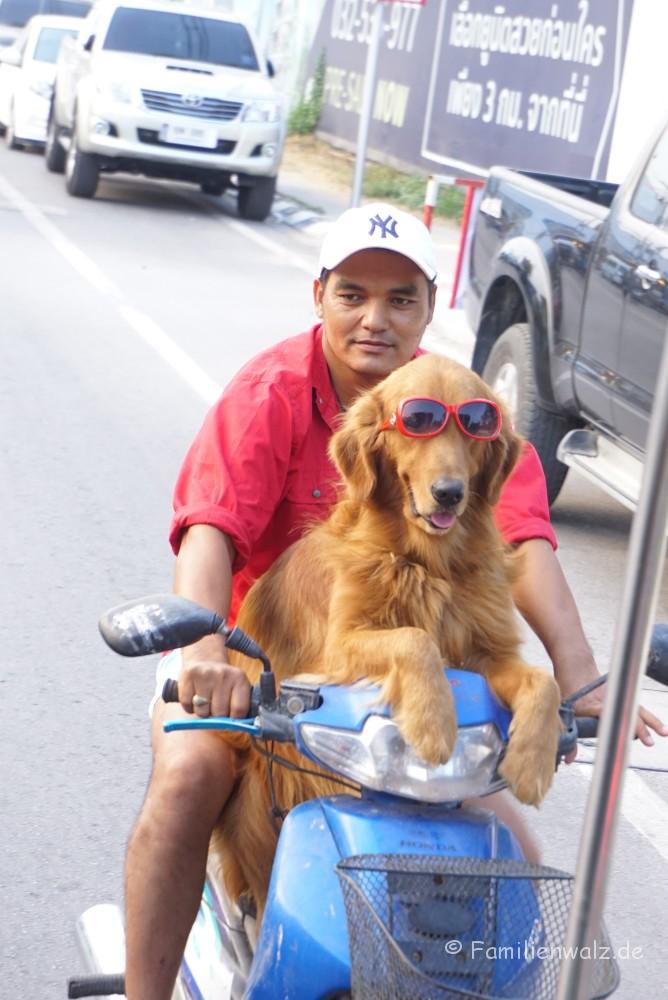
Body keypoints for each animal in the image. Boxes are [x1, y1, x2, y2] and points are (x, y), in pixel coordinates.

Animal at [217, 353, 562, 918]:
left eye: (476, 425)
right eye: (418, 421)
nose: (449, 493)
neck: (426, 562)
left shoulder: (487, 654)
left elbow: (544, 682)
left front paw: (532, 760)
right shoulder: (341, 644)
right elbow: (413, 640)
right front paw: (433, 722)